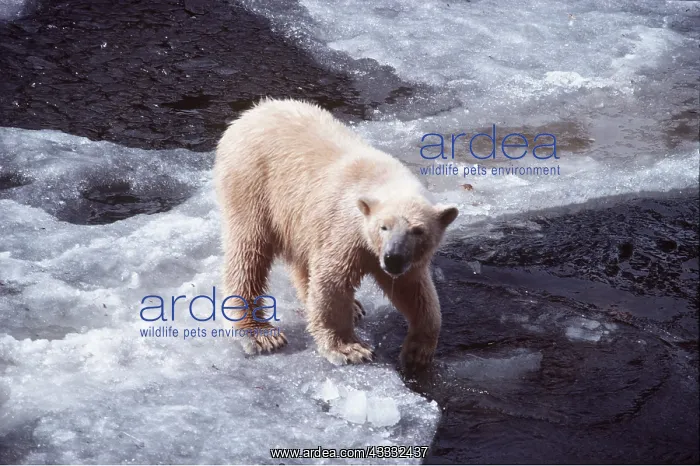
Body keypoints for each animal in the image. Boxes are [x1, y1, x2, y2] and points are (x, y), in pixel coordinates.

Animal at [214, 98, 458, 367]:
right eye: (383, 226)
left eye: (418, 230)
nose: (393, 259)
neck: (380, 179)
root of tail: (251, 112)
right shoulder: (344, 230)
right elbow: (333, 281)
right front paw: (350, 349)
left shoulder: (403, 257)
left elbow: (413, 289)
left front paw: (418, 351)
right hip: (252, 185)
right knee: (249, 252)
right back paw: (261, 334)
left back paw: (353, 306)